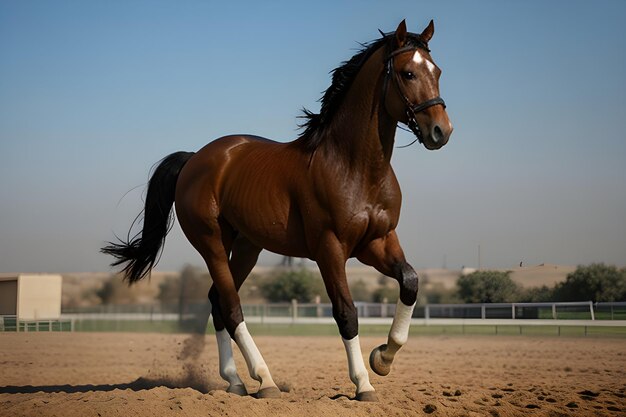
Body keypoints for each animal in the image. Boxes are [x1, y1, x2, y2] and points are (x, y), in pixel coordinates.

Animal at [103, 18, 454, 400]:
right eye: (408, 73)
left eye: (437, 70)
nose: (442, 131)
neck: (355, 167)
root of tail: (195, 159)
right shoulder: (330, 249)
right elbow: (346, 313)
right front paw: (363, 383)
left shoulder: (377, 242)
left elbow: (410, 282)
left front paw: (383, 359)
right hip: (212, 244)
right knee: (231, 306)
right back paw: (264, 379)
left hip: (247, 247)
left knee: (216, 301)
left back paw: (236, 381)